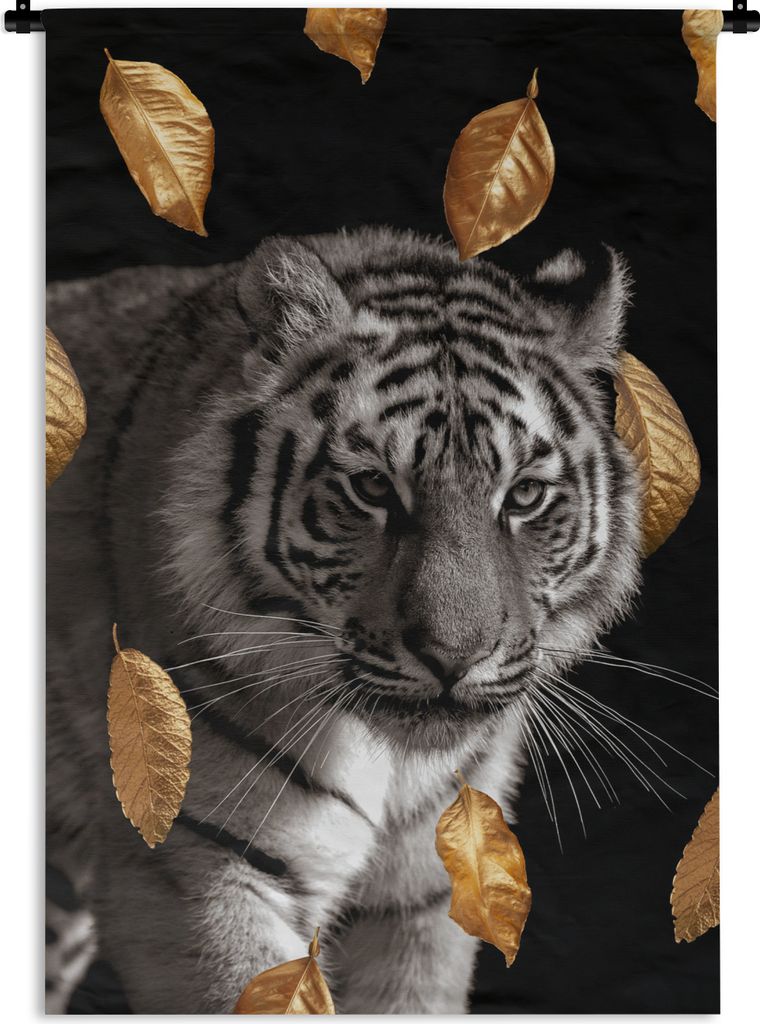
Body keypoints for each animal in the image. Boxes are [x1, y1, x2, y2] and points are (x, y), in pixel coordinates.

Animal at [46, 225, 641, 1013]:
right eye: (372, 487)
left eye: (523, 496)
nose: (454, 657)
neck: (393, 766)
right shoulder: (197, 865)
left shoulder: (425, 892)